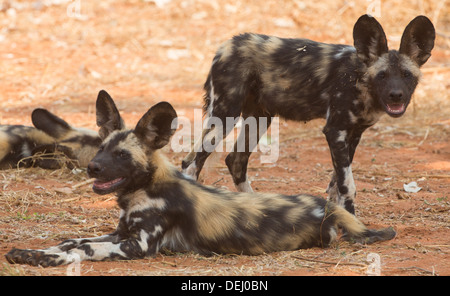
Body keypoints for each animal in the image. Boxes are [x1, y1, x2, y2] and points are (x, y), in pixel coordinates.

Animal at [5, 89, 396, 266]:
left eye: (121, 155)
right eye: (99, 148)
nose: (93, 169)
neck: (145, 191)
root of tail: (327, 207)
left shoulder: (136, 245)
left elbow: (82, 248)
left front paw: (47, 259)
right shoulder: (119, 233)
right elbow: (71, 240)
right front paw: (31, 252)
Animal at [181, 14, 434, 215]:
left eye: (406, 75)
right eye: (382, 75)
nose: (396, 96)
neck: (361, 79)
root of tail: (225, 47)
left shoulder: (353, 134)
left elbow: (336, 184)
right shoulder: (335, 131)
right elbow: (347, 186)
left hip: (260, 119)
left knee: (235, 161)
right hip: (226, 117)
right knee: (191, 163)